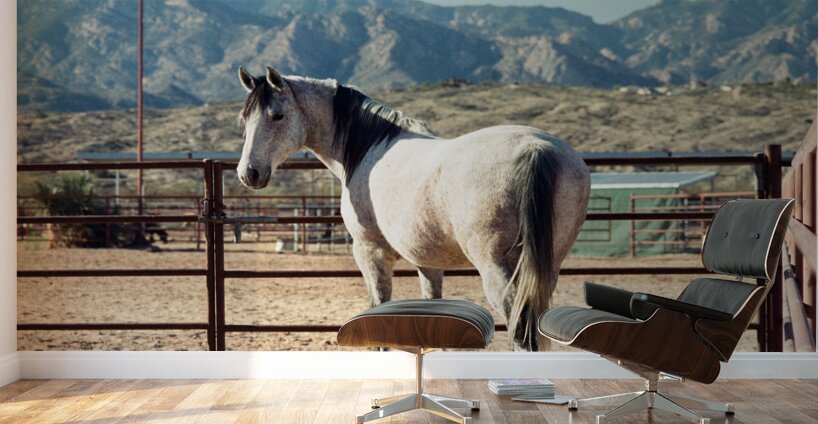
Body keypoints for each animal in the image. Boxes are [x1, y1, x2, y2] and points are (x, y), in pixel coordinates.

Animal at [236, 66, 591, 350]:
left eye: (277, 115)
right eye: (244, 119)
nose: (248, 173)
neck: (367, 147)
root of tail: (534, 147)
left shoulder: (371, 252)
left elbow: (378, 308)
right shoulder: (428, 261)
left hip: (498, 269)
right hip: (547, 268)